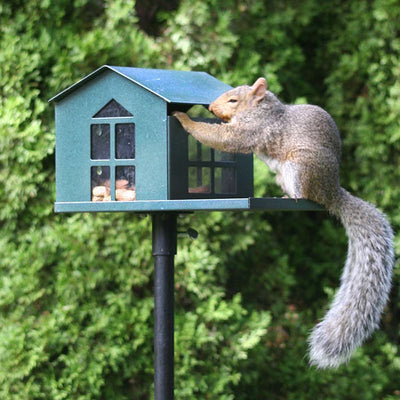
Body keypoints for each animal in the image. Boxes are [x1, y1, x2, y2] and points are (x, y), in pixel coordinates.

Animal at [173, 78, 396, 368]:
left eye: (234, 100)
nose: (210, 108)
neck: (262, 108)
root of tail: (332, 192)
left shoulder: (254, 129)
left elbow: (226, 138)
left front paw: (184, 119)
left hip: (299, 168)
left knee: (307, 195)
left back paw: (295, 197)